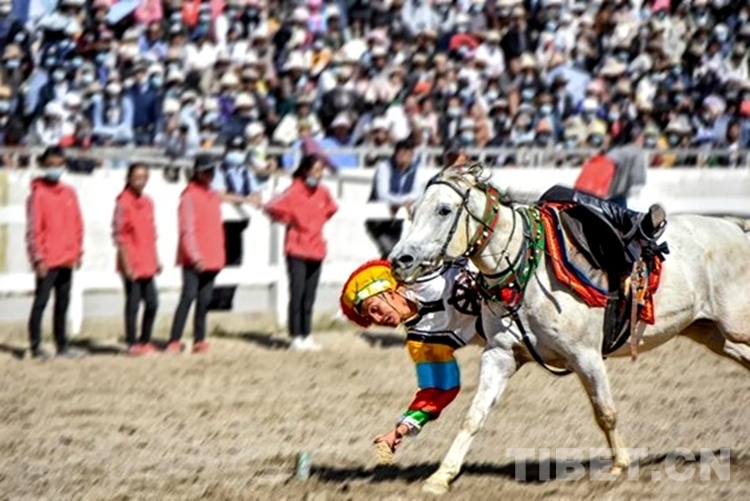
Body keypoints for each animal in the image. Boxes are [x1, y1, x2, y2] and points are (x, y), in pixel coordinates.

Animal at [388, 165, 750, 495]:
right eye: (414, 210)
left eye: (444, 209)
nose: (400, 260)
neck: (530, 271)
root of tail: (737, 229)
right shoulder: (500, 355)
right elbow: (473, 416)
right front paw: (441, 477)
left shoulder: (586, 356)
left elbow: (605, 412)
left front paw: (619, 466)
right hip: (712, 333)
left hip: (734, 325)